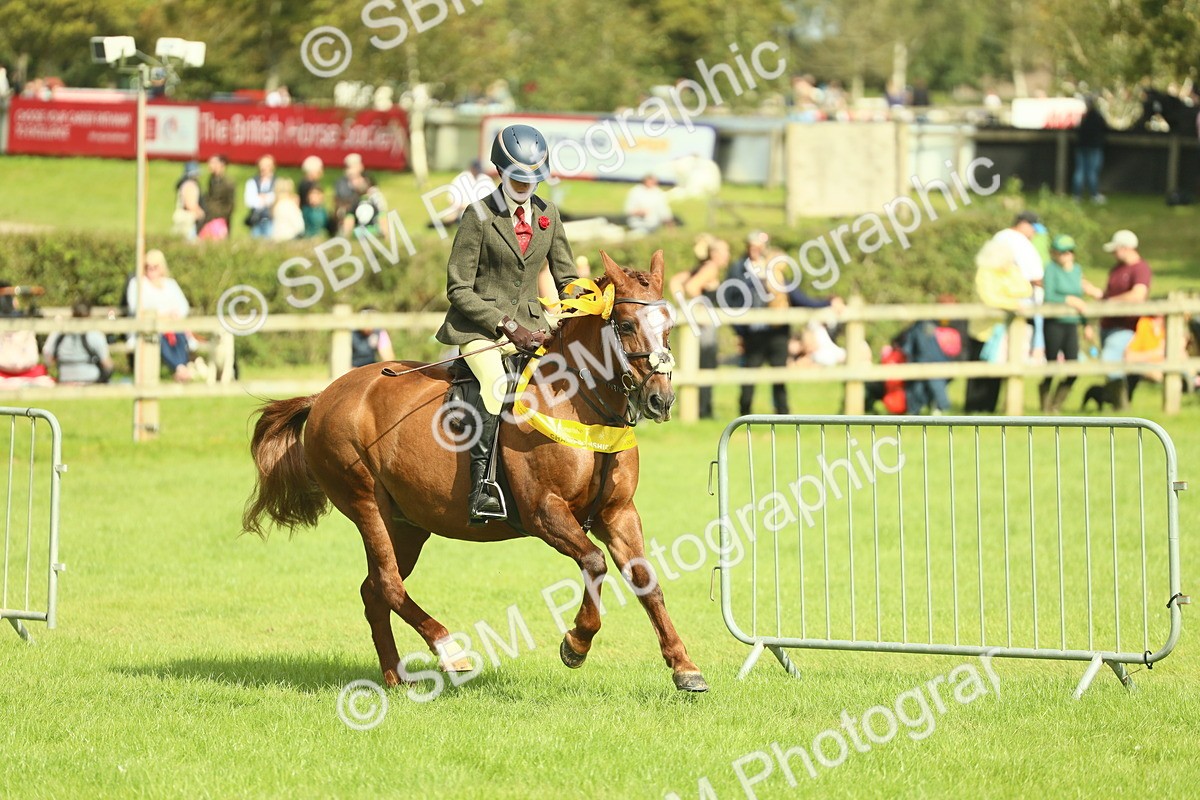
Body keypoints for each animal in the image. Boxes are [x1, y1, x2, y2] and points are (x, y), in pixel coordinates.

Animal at [242, 250, 708, 693]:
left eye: (669, 326)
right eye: (626, 325)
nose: (661, 400)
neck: (579, 403)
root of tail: (325, 394)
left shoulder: (619, 512)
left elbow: (646, 579)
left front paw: (684, 667)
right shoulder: (544, 512)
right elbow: (594, 563)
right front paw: (575, 644)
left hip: (407, 523)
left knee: (374, 590)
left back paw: (395, 678)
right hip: (365, 503)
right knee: (389, 584)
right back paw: (449, 650)